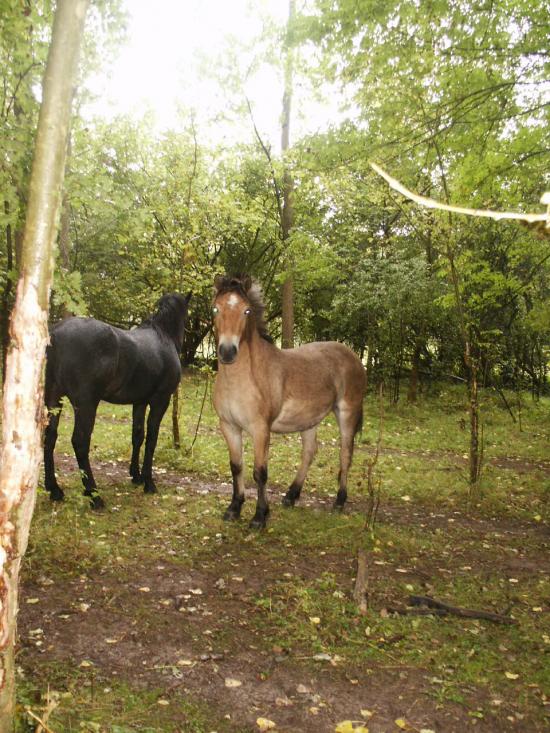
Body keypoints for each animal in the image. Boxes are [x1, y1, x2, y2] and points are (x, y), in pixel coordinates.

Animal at [43, 294, 191, 506]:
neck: (164, 336)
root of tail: (56, 333)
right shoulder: (160, 401)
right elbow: (151, 438)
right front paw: (149, 483)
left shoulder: (140, 402)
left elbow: (138, 435)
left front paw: (136, 476)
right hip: (86, 404)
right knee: (80, 441)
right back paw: (94, 495)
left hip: (54, 398)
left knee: (50, 436)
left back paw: (55, 490)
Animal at [213, 274, 368, 528]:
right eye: (215, 308)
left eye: (247, 311)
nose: (227, 351)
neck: (244, 378)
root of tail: (353, 356)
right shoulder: (229, 427)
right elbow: (236, 467)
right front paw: (234, 508)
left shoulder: (260, 429)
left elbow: (260, 472)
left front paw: (260, 516)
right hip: (309, 420)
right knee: (309, 452)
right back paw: (291, 495)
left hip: (347, 413)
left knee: (345, 455)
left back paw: (339, 501)